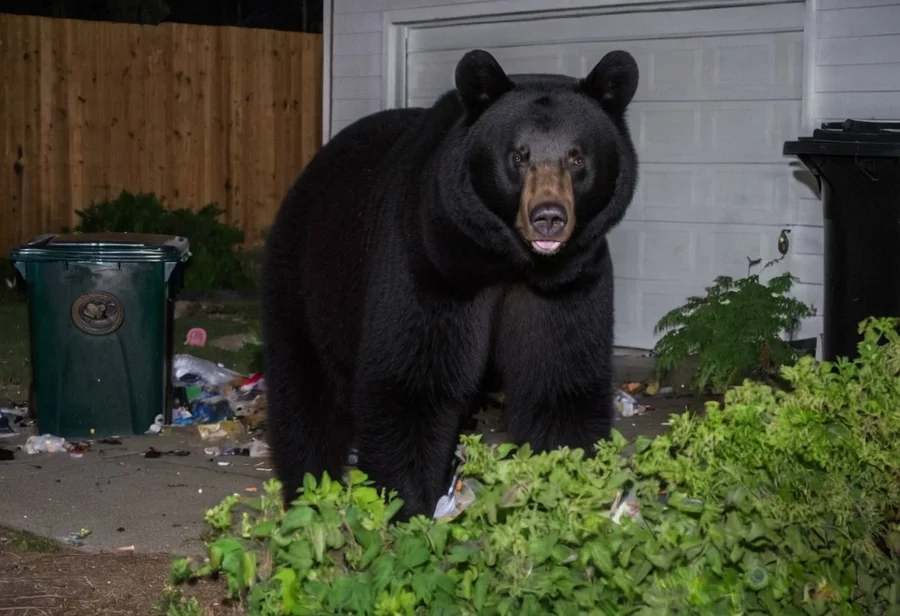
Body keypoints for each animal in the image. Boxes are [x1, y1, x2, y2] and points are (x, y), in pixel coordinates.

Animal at [261, 48, 640, 522]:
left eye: (576, 157)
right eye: (518, 156)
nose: (548, 217)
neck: (507, 262)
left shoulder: (567, 284)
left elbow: (560, 384)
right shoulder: (429, 264)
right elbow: (410, 384)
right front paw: (407, 510)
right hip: (308, 281)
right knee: (304, 394)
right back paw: (309, 493)